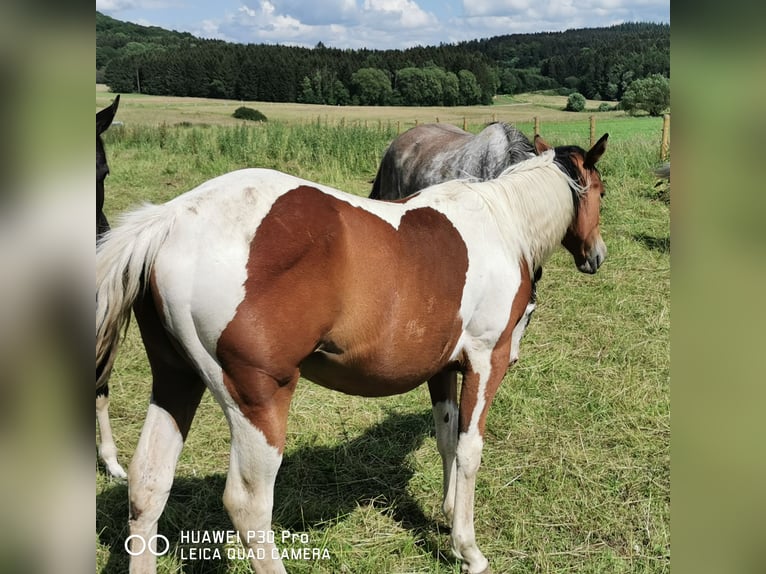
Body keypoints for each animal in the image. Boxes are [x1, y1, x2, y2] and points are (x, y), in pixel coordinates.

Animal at [97, 134, 612, 574]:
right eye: (601, 192)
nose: (597, 255)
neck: (502, 223)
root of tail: (172, 219)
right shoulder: (488, 361)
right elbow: (469, 449)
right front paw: (468, 548)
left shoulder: (442, 368)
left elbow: (446, 437)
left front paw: (446, 515)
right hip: (259, 399)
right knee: (248, 506)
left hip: (175, 380)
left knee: (148, 485)